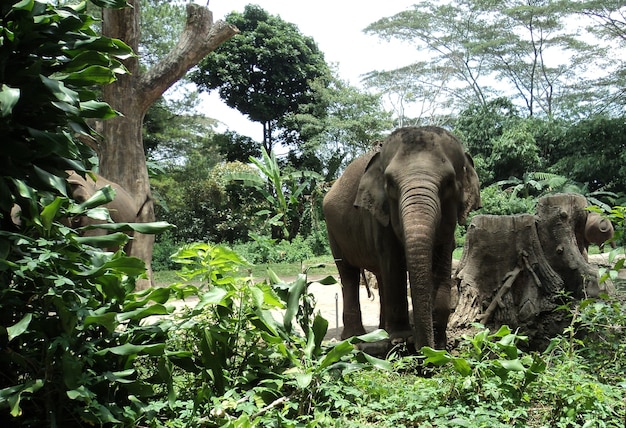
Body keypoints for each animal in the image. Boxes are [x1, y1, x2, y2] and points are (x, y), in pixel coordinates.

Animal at [322, 125, 478, 350]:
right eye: (390, 184)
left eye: (449, 183)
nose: (423, 348)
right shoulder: (379, 216)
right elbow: (393, 262)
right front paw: (402, 340)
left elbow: (441, 264)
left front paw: (439, 345)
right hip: (332, 229)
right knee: (348, 273)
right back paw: (355, 337)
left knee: (379, 275)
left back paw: (381, 332)